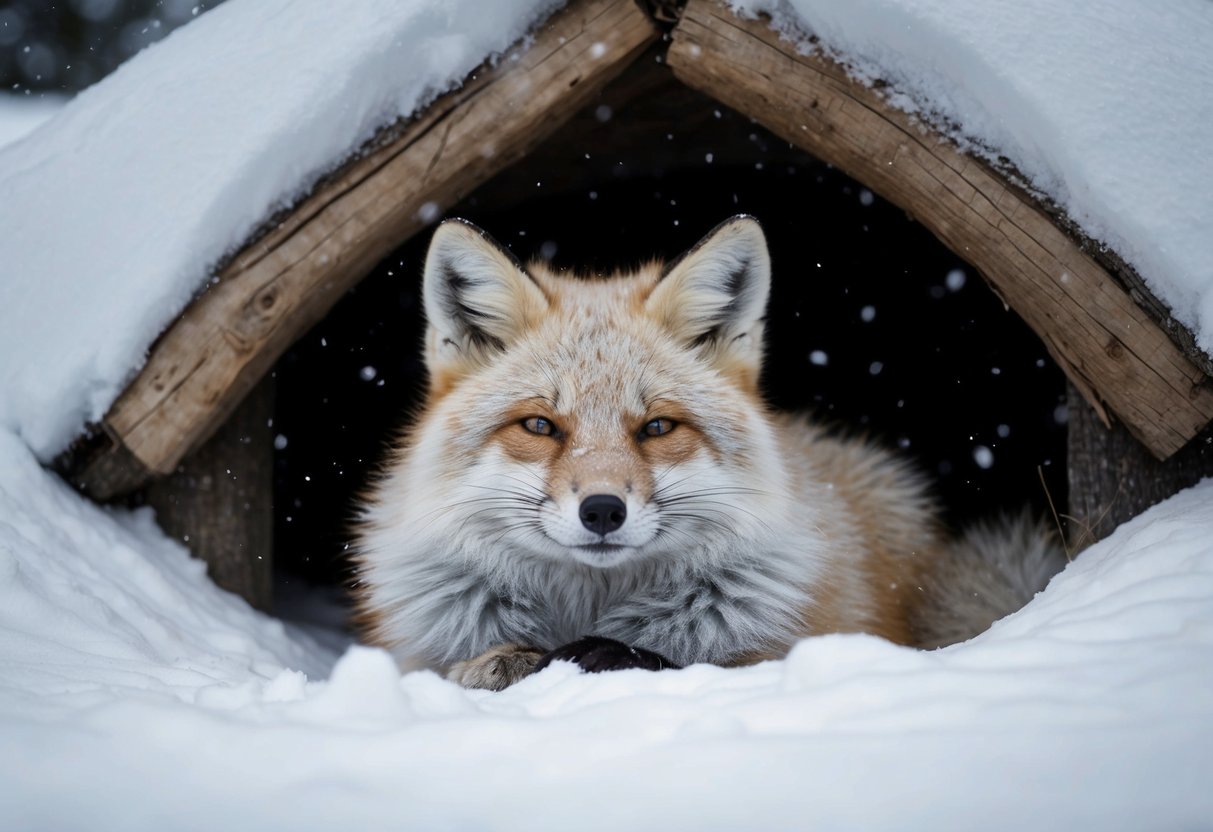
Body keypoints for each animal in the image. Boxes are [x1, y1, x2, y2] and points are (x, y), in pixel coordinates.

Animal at [352, 215, 1065, 690]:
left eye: (658, 427)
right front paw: (498, 663)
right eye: (539, 425)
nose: (603, 511)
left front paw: (605, 657)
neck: (588, 608)